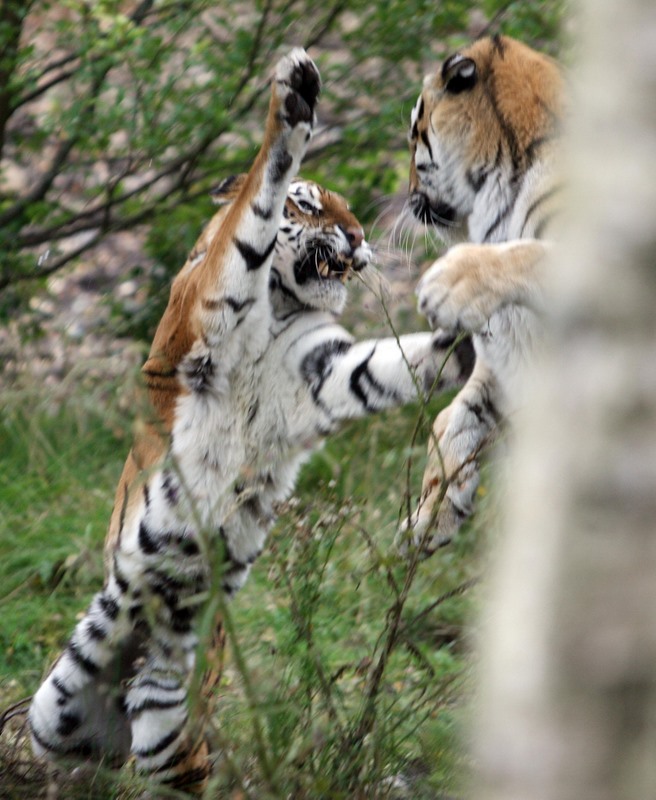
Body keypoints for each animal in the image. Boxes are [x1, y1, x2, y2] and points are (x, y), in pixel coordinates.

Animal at [28, 49, 471, 794]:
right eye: (309, 203)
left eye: (350, 213)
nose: (359, 237)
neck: (285, 299)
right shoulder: (212, 304)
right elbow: (251, 213)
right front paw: (294, 101)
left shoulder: (323, 371)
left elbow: (393, 364)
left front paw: (472, 332)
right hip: (53, 709)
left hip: (166, 724)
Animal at [400, 34, 564, 555]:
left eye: (414, 137)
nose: (409, 194)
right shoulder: (504, 357)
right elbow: (455, 421)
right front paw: (428, 518)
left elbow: (524, 255)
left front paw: (445, 285)